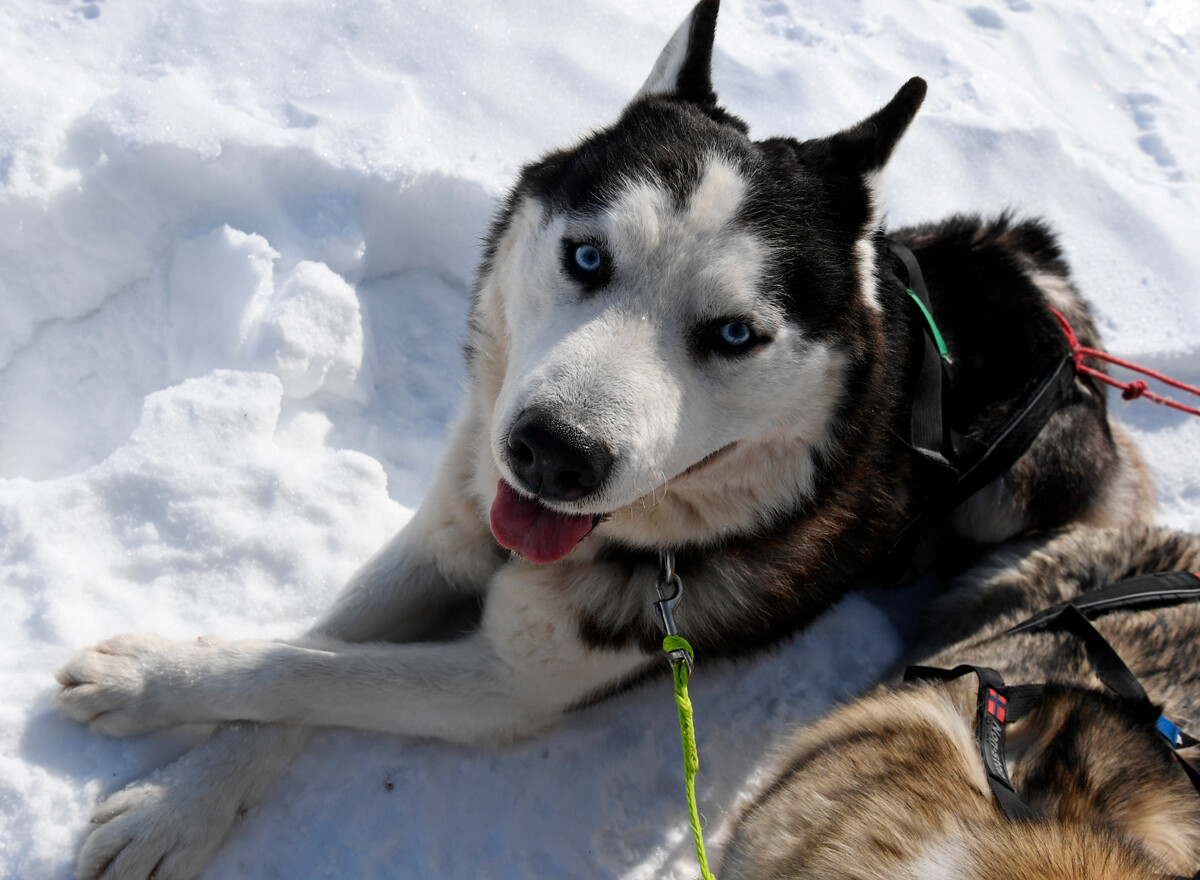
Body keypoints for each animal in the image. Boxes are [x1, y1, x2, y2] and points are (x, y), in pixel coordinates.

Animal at [58, 1, 1152, 878]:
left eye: (734, 335)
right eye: (587, 257)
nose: (550, 453)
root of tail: (1060, 306)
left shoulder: (506, 684)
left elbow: (316, 675)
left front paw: (142, 683)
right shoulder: (449, 527)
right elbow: (312, 646)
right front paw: (180, 794)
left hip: (1011, 498)